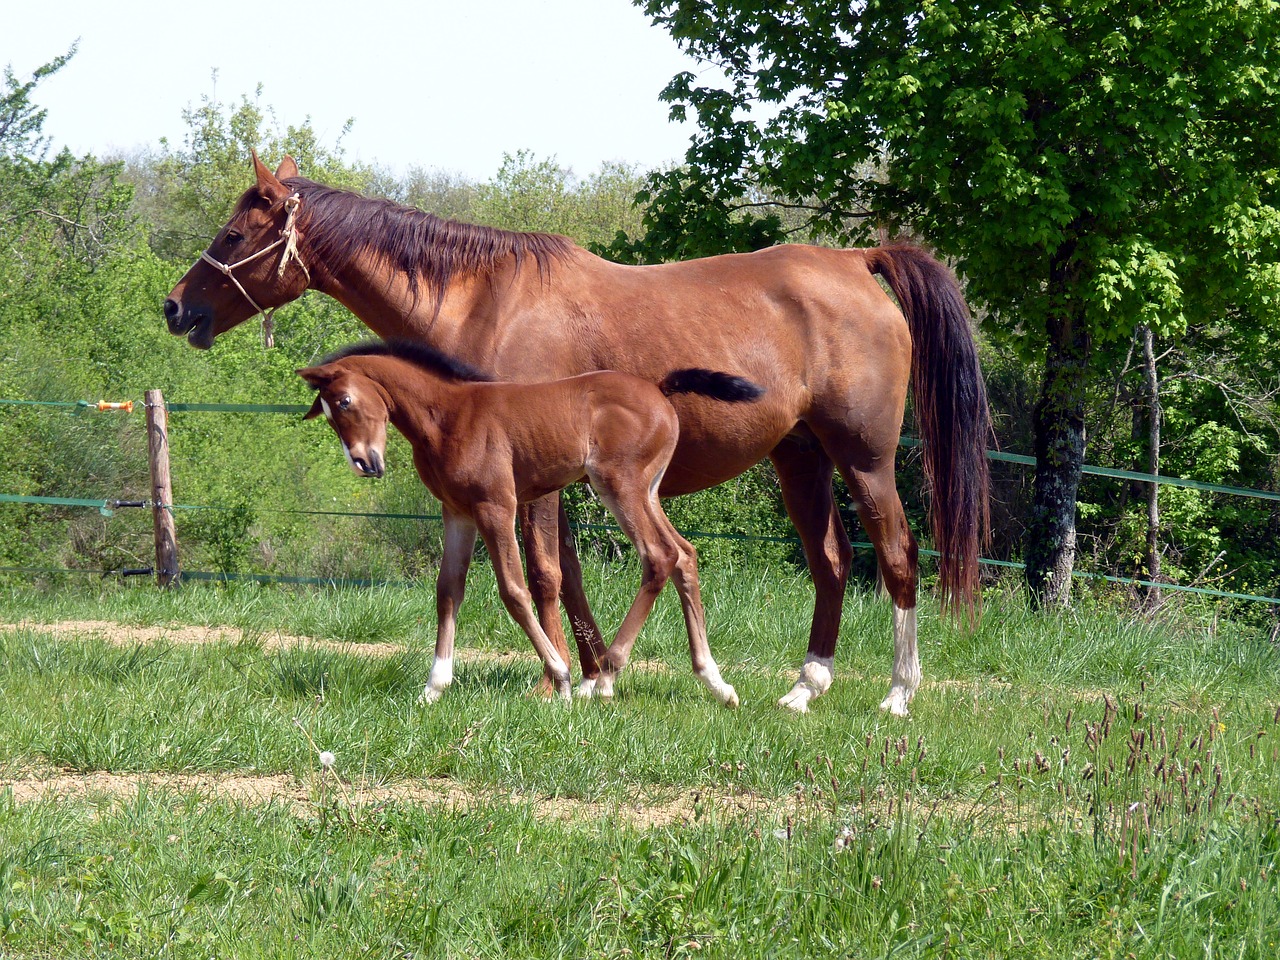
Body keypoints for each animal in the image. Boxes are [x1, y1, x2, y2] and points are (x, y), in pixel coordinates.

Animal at [299, 343, 757, 701]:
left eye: (344, 401)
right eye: (327, 414)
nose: (363, 464)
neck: (448, 417)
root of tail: (659, 390)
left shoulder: (496, 506)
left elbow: (514, 590)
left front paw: (561, 677)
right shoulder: (457, 511)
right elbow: (448, 590)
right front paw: (434, 686)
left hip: (619, 486)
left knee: (659, 556)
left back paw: (607, 676)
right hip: (647, 492)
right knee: (684, 554)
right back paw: (716, 683)